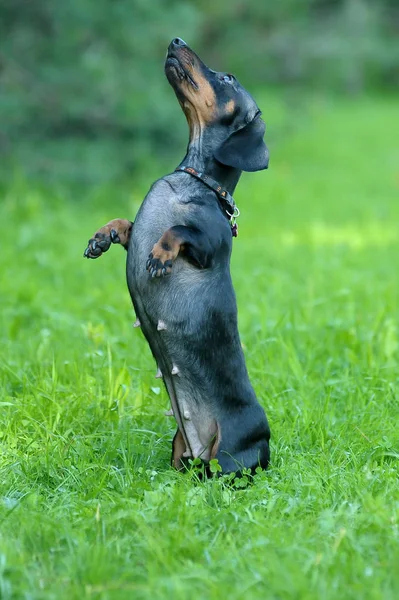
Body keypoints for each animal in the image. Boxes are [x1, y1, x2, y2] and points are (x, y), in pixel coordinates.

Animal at [84, 39, 272, 476]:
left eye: (228, 77)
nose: (176, 42)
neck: (194, 180)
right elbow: (126, 224)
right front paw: (103, 236)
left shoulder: (208, 248)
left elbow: (181, 232)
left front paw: (159, 253)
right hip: (179, 447)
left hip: (232, 453)